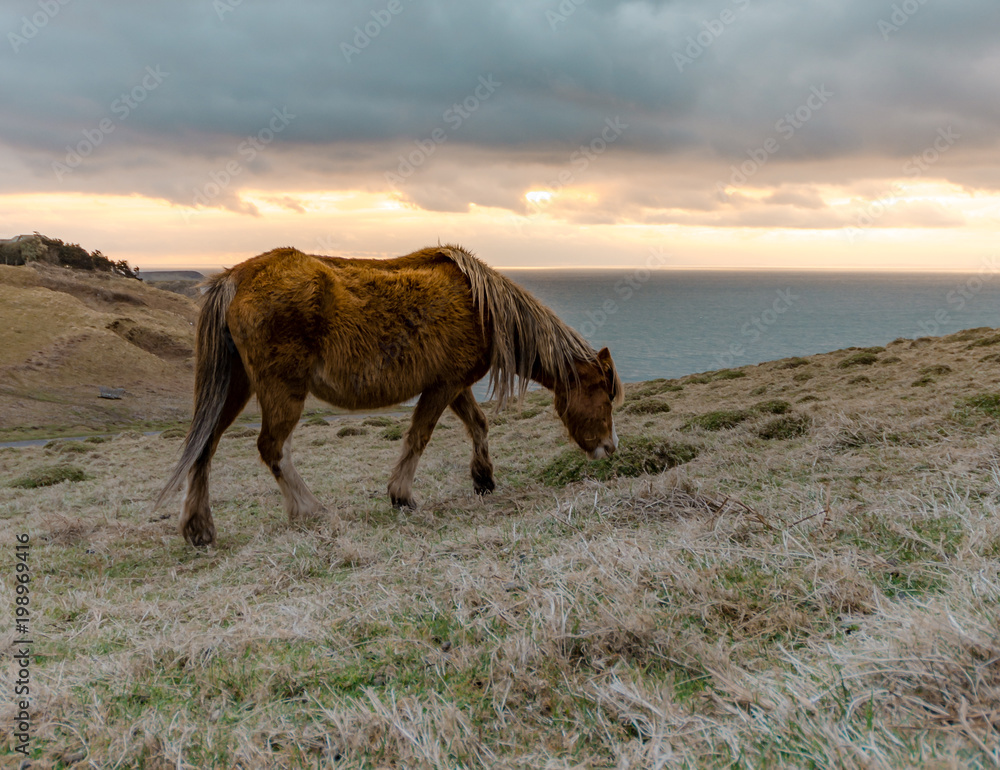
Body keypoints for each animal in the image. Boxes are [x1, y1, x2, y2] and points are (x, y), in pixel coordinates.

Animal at [153, 245, 623, 546]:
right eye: (604, 395)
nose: (609, 448)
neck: (480, 304)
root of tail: (238, 276)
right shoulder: (443, 386)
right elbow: (419, 437)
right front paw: (402, 496)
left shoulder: (454, 385)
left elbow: (478, 424)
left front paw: (484, 479)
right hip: (281, 389)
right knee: (271, 447)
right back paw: (310, 511)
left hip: (236, 386)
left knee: (206, 445)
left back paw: (199, 528)